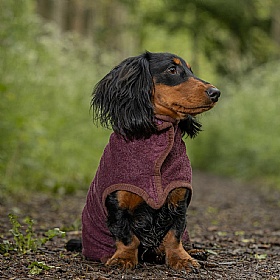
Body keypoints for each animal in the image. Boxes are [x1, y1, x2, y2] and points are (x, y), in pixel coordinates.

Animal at [66, 50, 220, 272]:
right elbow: (126, 235)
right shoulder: (117, 200)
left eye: (191, 70)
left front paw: (181, 258)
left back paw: (194, 251)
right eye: (172, 70)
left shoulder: (178, 199)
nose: (216, 92)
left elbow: (174, 234)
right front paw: (123, 258)